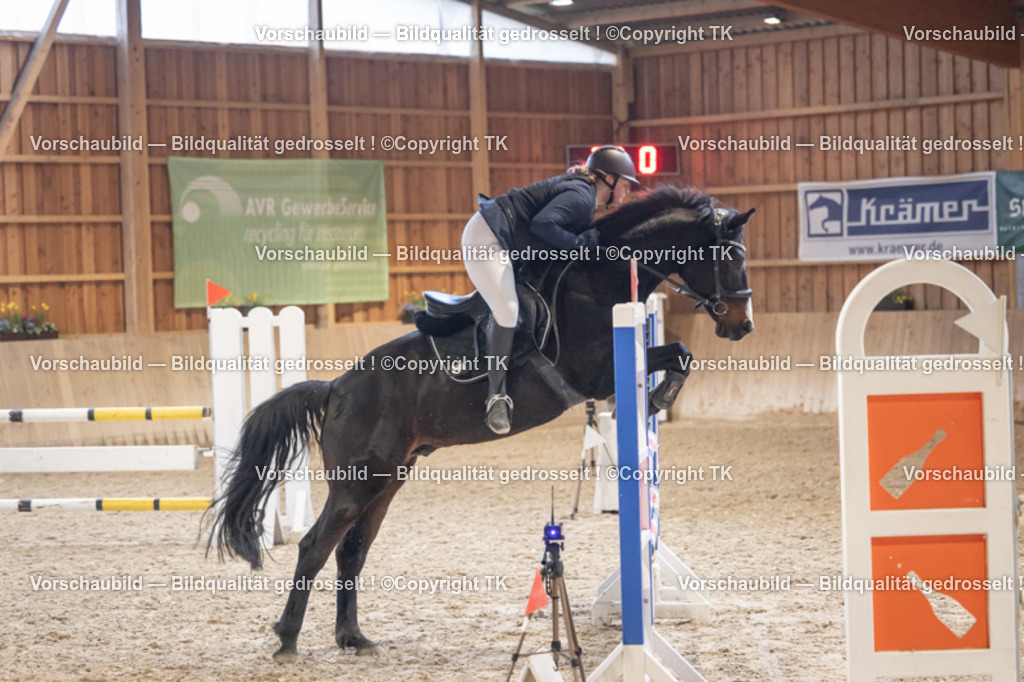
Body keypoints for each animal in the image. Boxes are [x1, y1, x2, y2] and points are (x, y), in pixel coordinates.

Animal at [209, 186, 755, 661]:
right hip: (356, 482)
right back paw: (287, 640)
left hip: (388, 478)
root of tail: (336, 389)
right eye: (731, 258)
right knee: (314, 547)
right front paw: (658, 395)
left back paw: (353, 637)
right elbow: (678, 352)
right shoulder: (596, 374)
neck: (598, 282)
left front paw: (658, 396)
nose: (742, 326)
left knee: (351, 551)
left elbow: (680, 352)